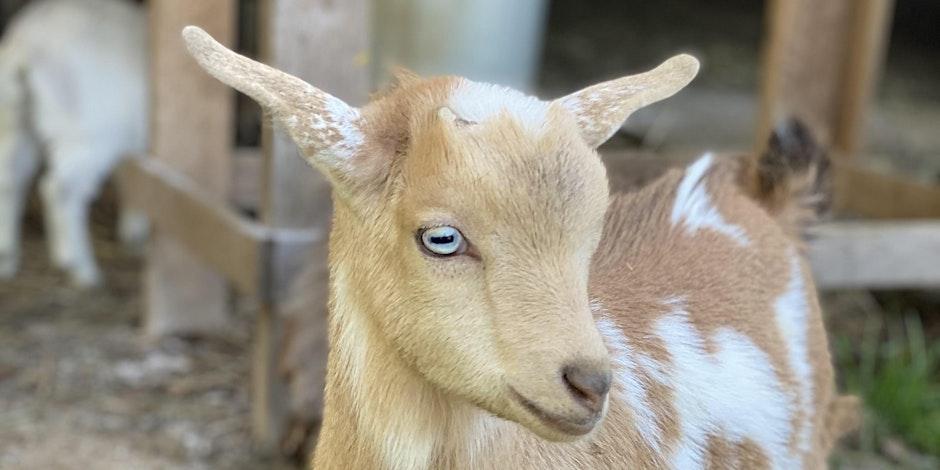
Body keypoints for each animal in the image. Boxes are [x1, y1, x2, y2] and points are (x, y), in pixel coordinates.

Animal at [0, 0, 147, 286]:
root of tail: (25, 46)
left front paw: (133, 232)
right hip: (88, 132)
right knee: (58, 189)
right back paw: (80, 267)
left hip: (16, 119)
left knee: (11, 180)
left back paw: (7, 259)